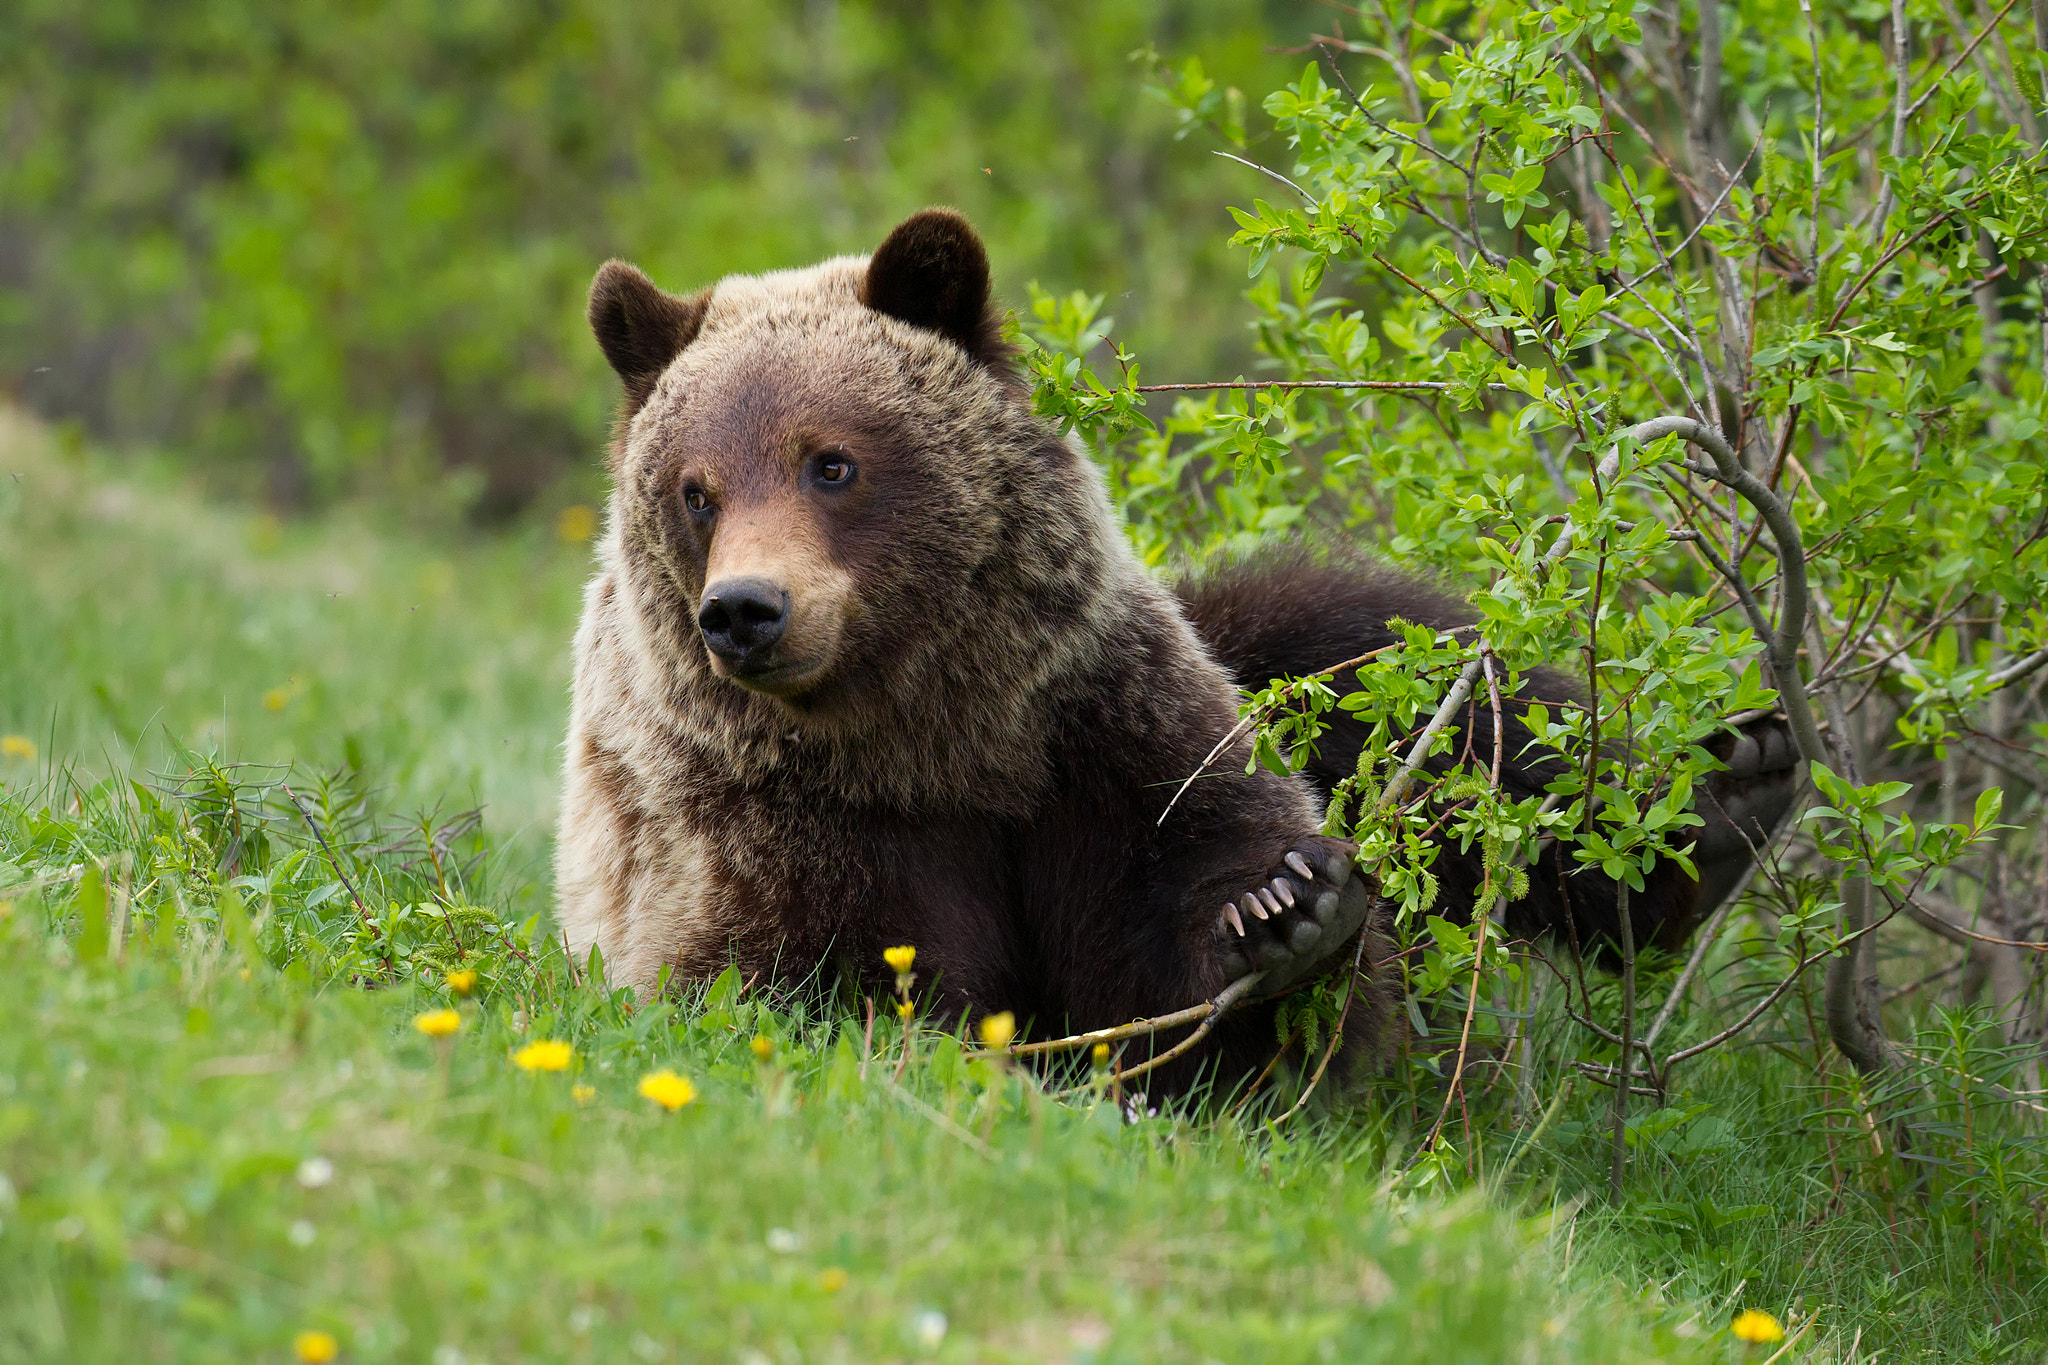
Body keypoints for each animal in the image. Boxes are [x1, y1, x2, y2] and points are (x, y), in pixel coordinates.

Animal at [554, 208, 1796, 1096]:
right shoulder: (769, 824)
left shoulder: (1089, 714)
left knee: (1400, 665)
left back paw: (1726, 798)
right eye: (696, 491)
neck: (934, 730)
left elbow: (1172, 905)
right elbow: (842, 983)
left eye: (830, 461)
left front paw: (1282, 911)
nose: (745, 612)